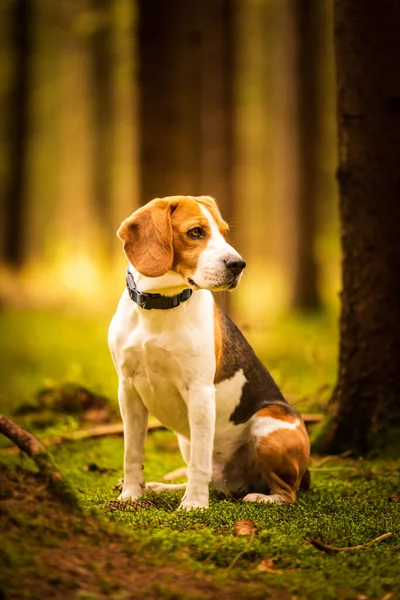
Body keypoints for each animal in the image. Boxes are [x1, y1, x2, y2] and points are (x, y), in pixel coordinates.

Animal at [108, 197, 310, 510]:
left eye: (224, 232)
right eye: (195, 232)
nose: (238, 264)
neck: (161, 305)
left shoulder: (200, 393)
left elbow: (199, 463)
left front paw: (194, 504)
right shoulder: (128, 391)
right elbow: (132, 453)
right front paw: (131, 493)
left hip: (268, 425)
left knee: (288, 492)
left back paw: (262, 498)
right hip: (187, 440)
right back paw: (159, 487)